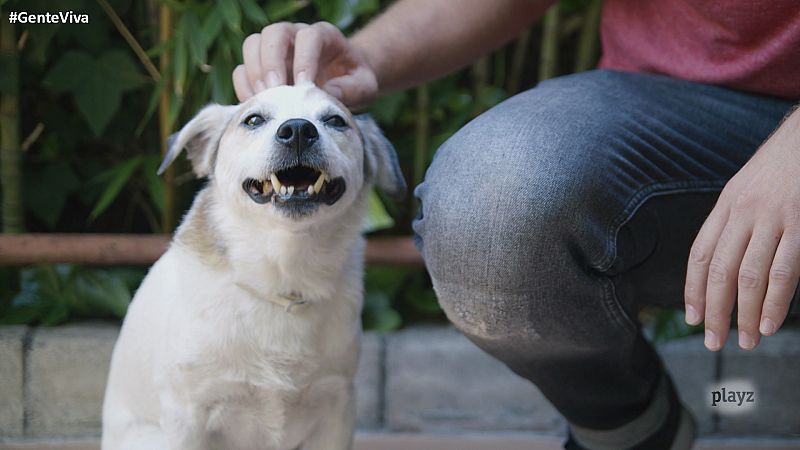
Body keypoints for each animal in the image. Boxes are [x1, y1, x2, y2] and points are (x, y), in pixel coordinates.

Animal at [102, 81, 406, 450]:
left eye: (335, 120)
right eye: (254, 120)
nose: (298, 130)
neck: (282, 276)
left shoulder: (336, 408)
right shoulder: (187, 414)